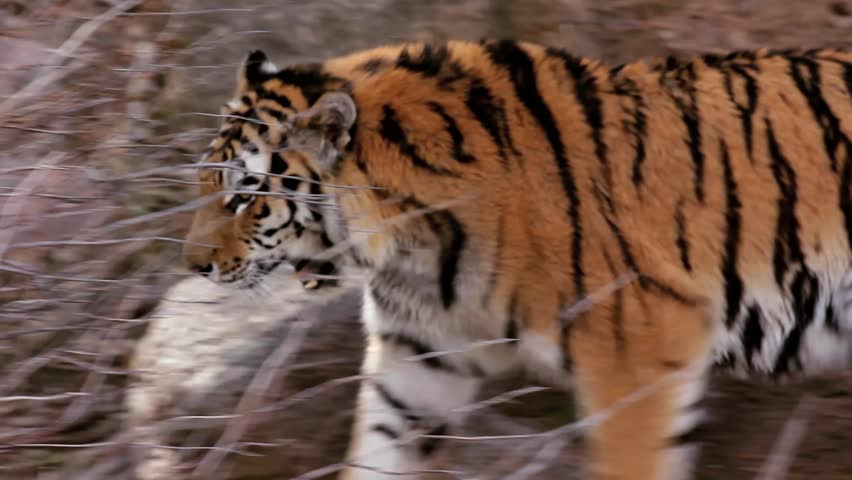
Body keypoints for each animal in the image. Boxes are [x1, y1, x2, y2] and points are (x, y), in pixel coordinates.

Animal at [180, 39, 852, 479]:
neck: (410, 248)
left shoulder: (637, 352)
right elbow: (377, 451)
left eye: (243, 197)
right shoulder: (417, 357)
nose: (194, 266)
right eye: (205, 182)